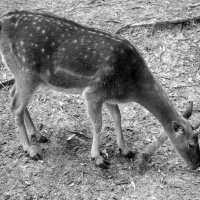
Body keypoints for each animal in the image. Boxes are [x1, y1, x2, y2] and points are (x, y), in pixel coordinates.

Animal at [0, 10, 200, 170]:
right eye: (191, 144)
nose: (196, 165)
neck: (132, 86)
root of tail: (4, 20)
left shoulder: (109, 96)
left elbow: (118, 117)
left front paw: (125, 150)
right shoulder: (93, 92)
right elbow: (98, 124)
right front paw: (98, 158)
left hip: (27, 76)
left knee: (13, 96)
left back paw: (38, 135)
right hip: (26, 72)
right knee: (15, 106)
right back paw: (31, 151)